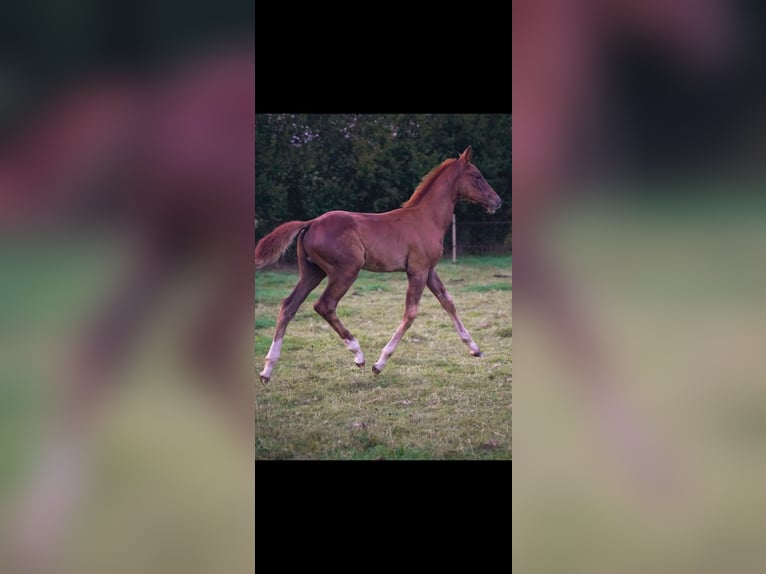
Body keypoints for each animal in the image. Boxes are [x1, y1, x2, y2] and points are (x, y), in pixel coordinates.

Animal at [254, 146, 504, 384]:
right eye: (477, 176)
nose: (497, 201)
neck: (426, 219)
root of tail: (311, 223)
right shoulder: (417, 270)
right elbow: (411, 313)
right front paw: (380, 363)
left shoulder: (429, 270)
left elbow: (448, 302)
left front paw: (475, 349)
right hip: (346, 271)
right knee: (324, 305)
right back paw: (358, 355)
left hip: (312, 273)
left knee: (289, 306)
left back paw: (267, 370)